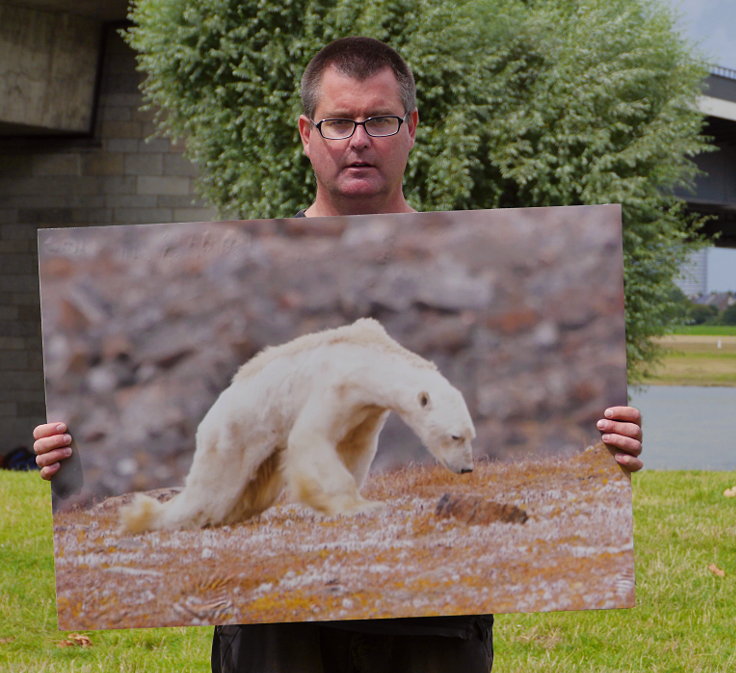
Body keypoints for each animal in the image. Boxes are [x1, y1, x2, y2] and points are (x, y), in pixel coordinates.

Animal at [119, 316, 478, 532]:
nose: (467, 469)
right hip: (234, 434)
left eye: (470, 435)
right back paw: (144, 518)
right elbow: (311, 439)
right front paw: (360, 505)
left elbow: (355, 447)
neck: (369, 357)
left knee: (250, 494)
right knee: (211, 494)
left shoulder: (366, 409)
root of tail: (209, 416)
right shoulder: (335, 387)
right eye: (455, 436)